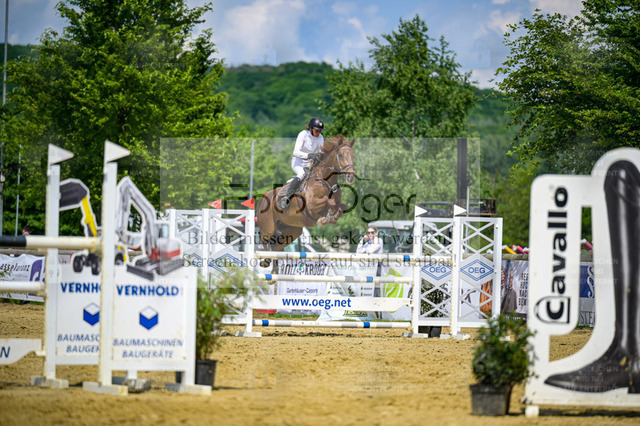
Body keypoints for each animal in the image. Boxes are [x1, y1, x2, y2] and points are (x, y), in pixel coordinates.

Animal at [257, 135, 356, 274]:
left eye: (353, 155)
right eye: (341, 155)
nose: (351, 177)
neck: (324, 181)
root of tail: (263, 197)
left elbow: (340, 207)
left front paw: (330, 218)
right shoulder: (312, 206)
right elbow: (328, 201)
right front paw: (326, 217)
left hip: (292, 230)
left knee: (276, 246)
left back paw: (274, 269)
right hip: (268, 227)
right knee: (263, 238)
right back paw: (265, 261)